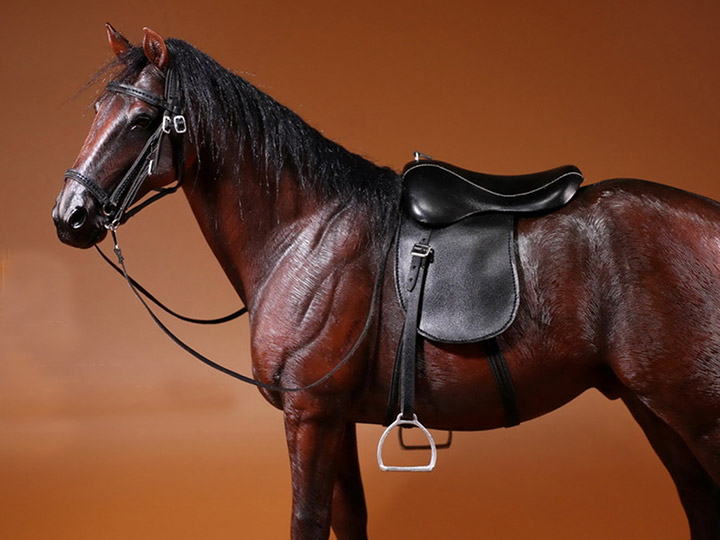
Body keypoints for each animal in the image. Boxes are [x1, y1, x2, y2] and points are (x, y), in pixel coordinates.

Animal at [52, 25, 720, 540]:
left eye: (142, 120)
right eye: (96, 111)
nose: (69, 216)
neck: (307, 233)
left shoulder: (309, 416)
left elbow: (307, 521)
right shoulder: (335, 419)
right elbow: (348, 520)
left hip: (695, 413)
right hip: (652, 410)